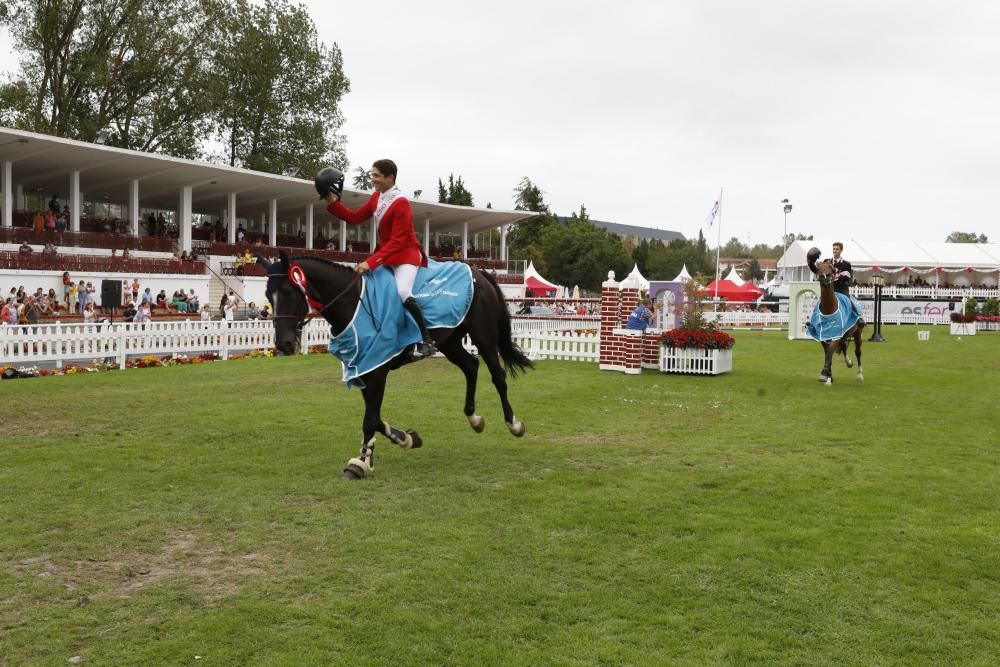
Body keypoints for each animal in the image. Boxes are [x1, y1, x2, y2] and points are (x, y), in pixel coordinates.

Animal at [262, 252, 536, 480]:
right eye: (268, 296)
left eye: (288, 292)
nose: (284, 344)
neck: (353, 303)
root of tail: (478, 273)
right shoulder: (365, 367)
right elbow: (375, 418)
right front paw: (406, 439)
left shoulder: (378, 370)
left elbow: (370, 419)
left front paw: (359, 465)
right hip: (450, 341)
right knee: (471, 366)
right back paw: (474, 418)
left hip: (484, 336)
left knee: (497, 375)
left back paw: (514, 424)